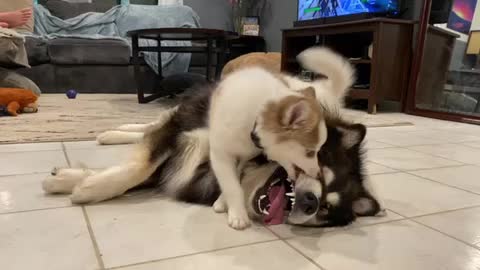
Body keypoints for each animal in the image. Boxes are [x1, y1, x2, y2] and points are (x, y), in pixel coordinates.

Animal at [43, 85, 384, 227]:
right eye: (319, 169)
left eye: (326, 209)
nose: (311, 203)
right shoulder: (184, 127)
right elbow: (139, 167)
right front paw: (89, 188)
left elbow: (140, 171)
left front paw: (73, 179)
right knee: (151, 124)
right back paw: (112, 132)